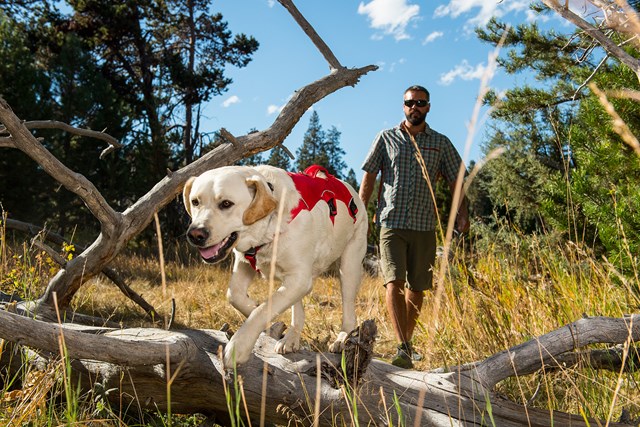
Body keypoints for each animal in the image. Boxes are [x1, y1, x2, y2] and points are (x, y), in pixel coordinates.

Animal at [182, 166, 368, 366]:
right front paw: (261, 316)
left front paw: (239, 346)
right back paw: (291, 338)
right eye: (195, 202)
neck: (270, 226)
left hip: (349, 264)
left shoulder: (299, 279)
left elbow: (262, 310)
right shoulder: (245, 262)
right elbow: (235, 295)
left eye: (226, 204)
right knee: (297, 307)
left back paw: (342, 338)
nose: (195, 234)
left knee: (348, 308)